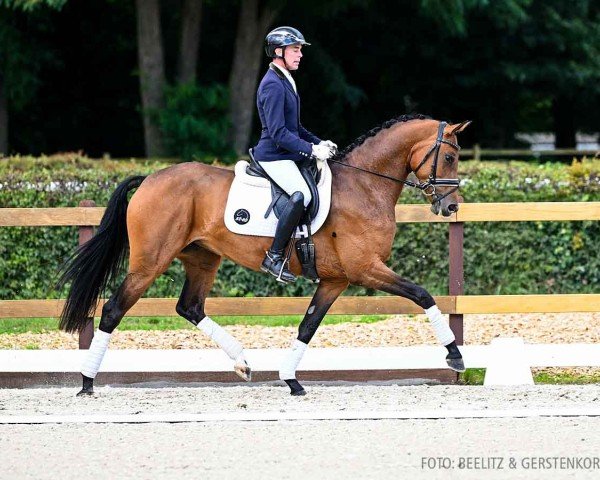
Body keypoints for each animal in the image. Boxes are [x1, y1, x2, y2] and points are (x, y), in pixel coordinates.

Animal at [59, 114, 474, 396]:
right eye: (450, 158)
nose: (451, 207)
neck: (364, 185)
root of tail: (149, 178)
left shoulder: (336, 280)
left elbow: (307, 326)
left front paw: (291, 380)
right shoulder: (366, 269)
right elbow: (423, 295)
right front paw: (455, 356)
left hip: (202, 258)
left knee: (190, 307)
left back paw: (243, 363)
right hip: (150, 262)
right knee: (114, 309)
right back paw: (87, 382)